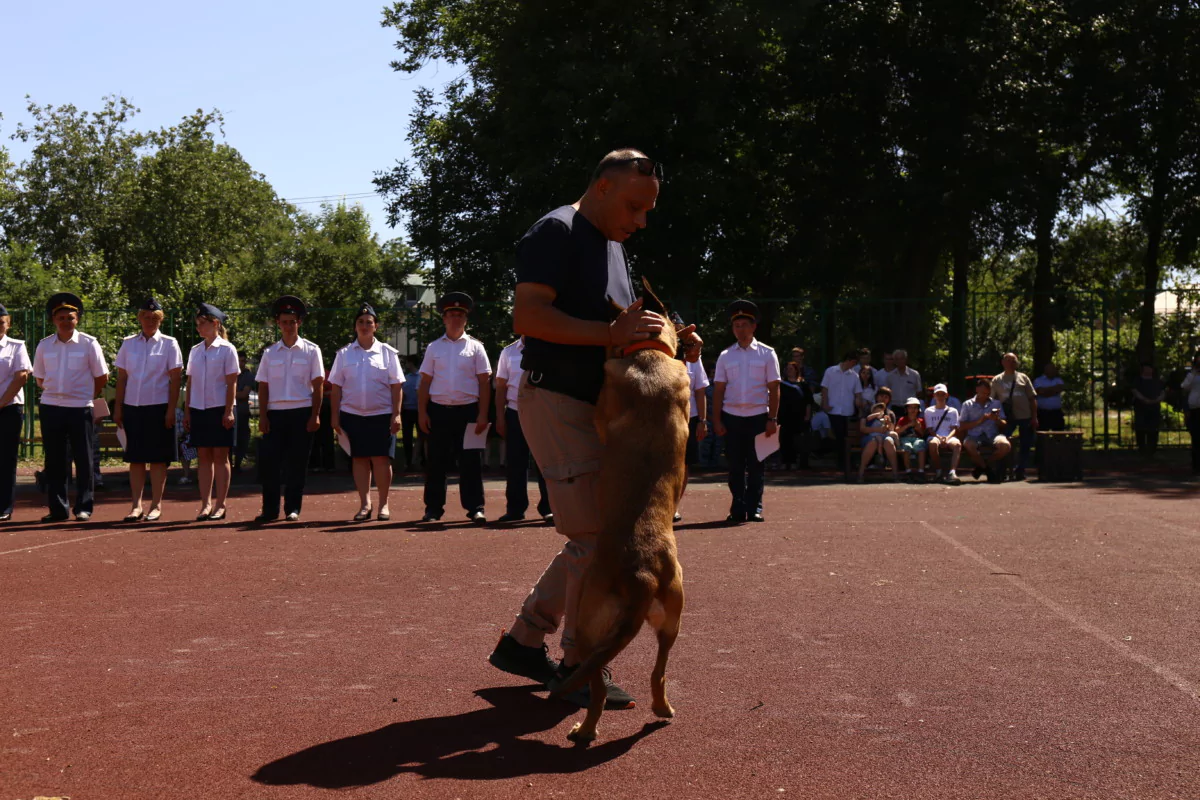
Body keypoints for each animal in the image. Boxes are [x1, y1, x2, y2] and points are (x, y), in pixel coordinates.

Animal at [549, 281, 691, 743]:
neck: (649, 355)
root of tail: (641, 574)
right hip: (672, 621)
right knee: (659, 672)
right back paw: (662, 709)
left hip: (589, 626)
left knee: (593, 687)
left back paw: (584, 729)